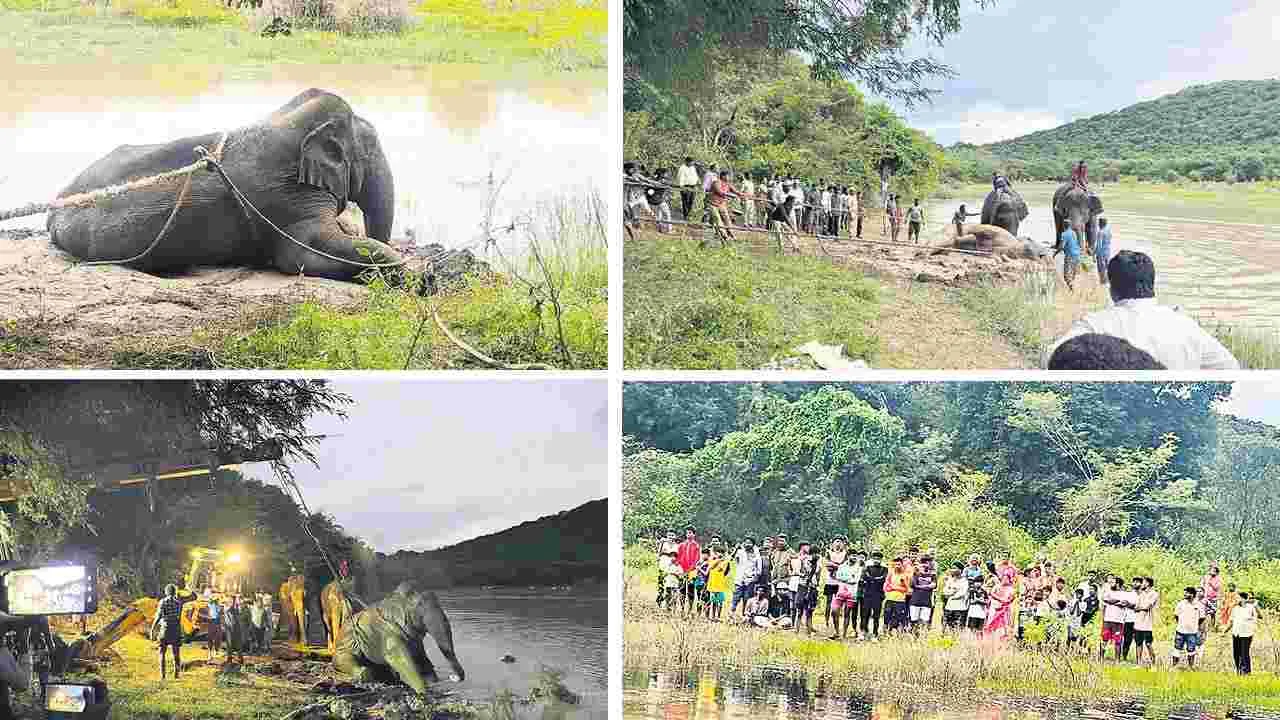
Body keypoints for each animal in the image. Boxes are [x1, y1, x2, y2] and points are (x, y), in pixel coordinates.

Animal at [333, 582, 465, 694]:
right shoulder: (388, 634)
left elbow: (421, 659)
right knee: (359, 668)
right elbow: (401, 661)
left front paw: (433, 682)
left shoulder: (414, 639)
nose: (453, 677)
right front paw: (423, 691)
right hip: (344, 650)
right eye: (419, 606)